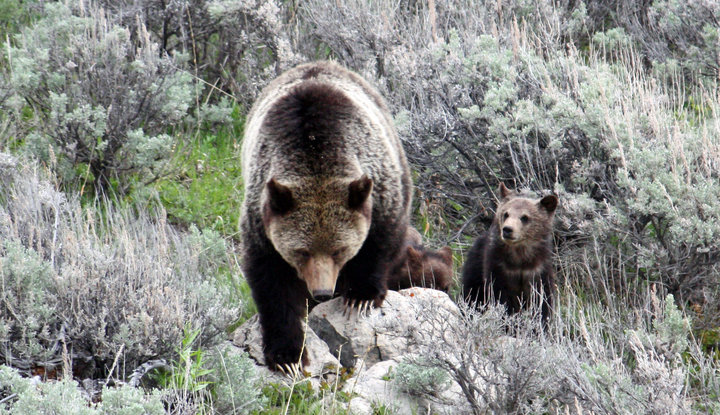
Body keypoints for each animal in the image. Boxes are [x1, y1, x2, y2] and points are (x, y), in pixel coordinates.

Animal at [239, 61, 412, 371]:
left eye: (339, 250)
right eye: (301, 251)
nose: (321, 292)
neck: (315, 152)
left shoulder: (379, 189)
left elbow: (380, 241)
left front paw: (360, 296)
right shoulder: (262, 218)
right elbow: (271, 282)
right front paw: (287, 354)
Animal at [462, 183, 558, 325]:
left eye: (525, 217)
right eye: (506, 214)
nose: (507, 229)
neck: (519, 256)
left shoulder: (538, 269)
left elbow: (541, 300)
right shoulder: (499, 267)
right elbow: (501, 298)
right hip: (475, 266)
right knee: (472, 295)